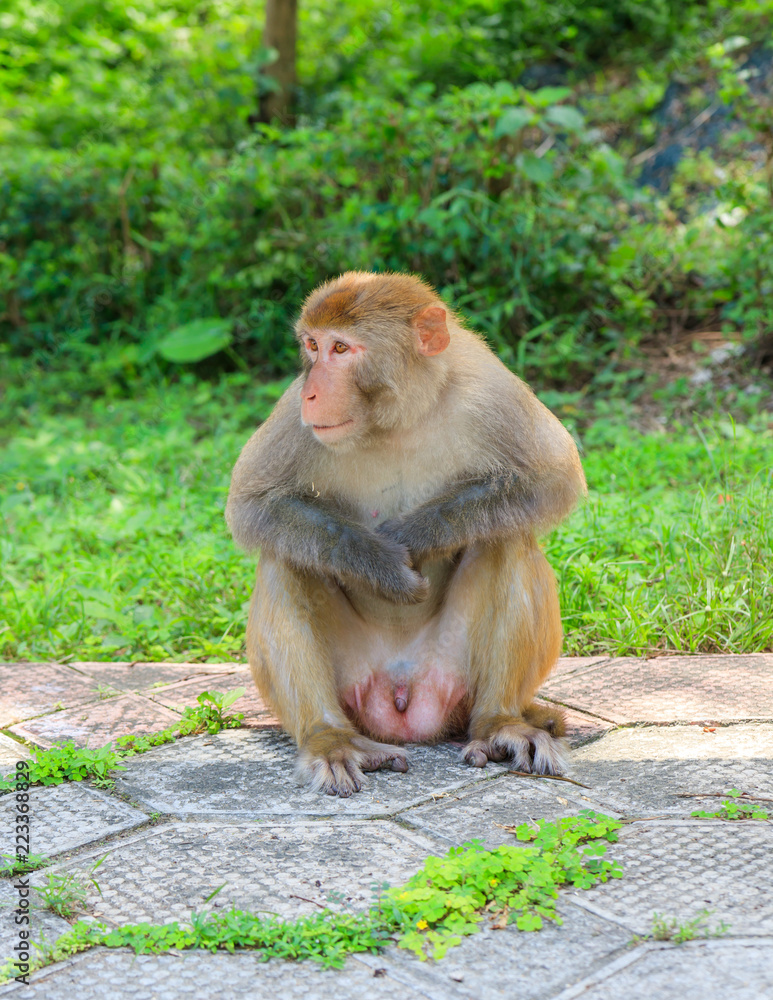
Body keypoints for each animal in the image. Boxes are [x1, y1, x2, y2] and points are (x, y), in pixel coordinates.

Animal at [226, 271, 586, 797]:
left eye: (341, 349)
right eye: (312, 346)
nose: (311, 394)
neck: (396, 418)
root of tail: (403, 703)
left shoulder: (488, 389)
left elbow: (553, 477)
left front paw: (415, 536)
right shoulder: (294, 417)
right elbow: (254, 505)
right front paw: (380, 563)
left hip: (453, 680)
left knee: (506, 534)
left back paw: (501, 723)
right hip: (356, 687)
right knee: (285, 555)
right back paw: (327, 738)